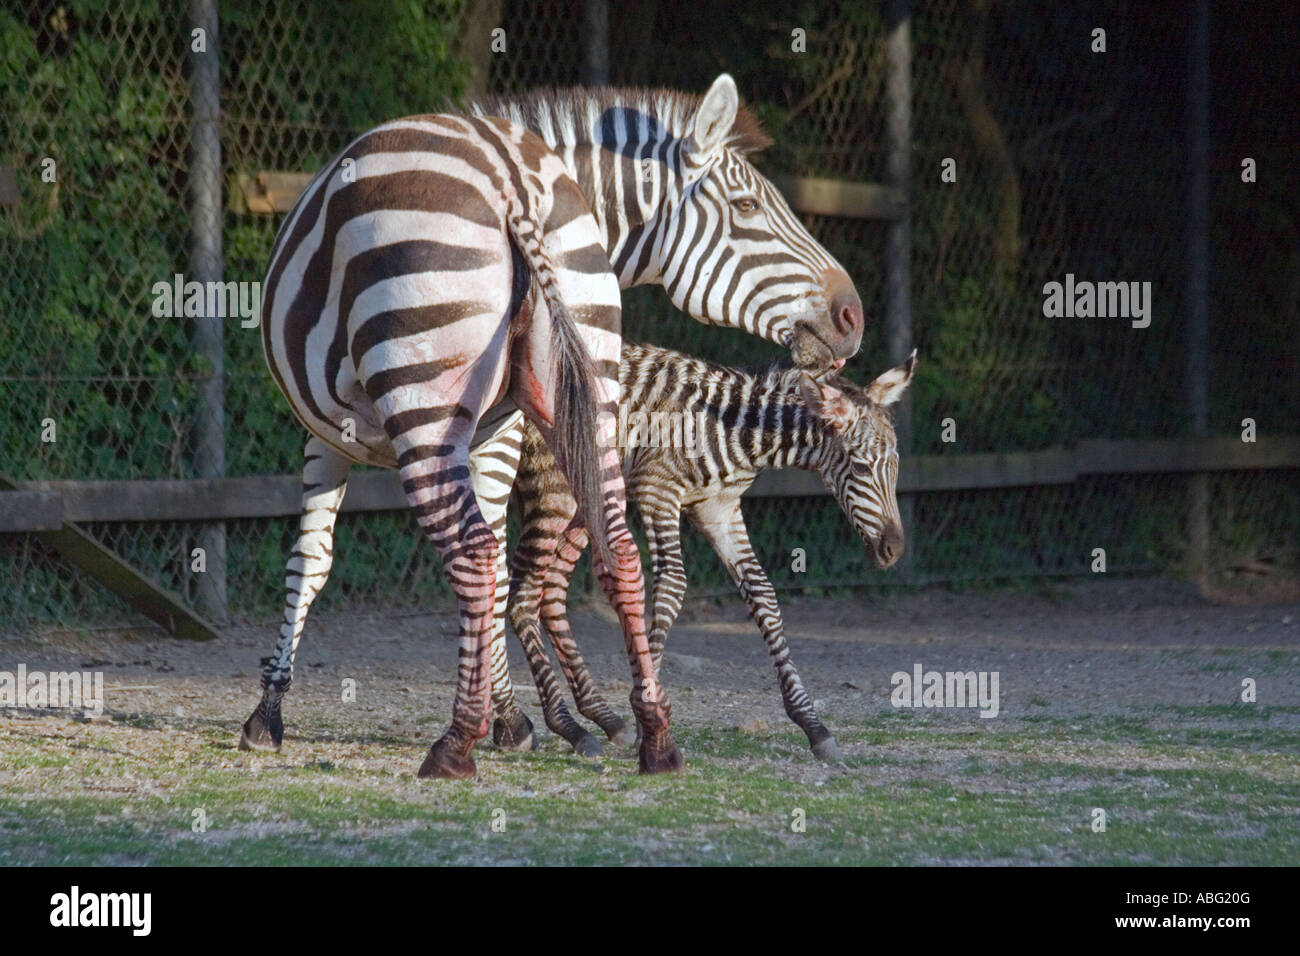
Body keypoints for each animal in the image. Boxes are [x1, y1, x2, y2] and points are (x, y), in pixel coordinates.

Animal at [243, 76, 863, 780]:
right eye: (746, 205)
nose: (854, 315)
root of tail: (510, 175)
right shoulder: (494, 428)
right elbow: (469, 571)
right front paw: (515, 718)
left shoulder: (339, 431)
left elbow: (313, 562)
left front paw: (267, 714)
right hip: (588, 380)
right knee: (610, 550)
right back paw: (654, 739)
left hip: (425, 404)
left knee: (474, 552)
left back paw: (456, 745)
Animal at [506, 340, 915, 759]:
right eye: (861, 468)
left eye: (896, 463)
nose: (894, 550)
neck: (732, 427)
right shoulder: (656, 490)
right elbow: (671, 587)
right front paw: (647, 715)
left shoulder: (719, 509)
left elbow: (763, 594)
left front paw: (812, 725)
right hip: (555, 492)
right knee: (520, 594)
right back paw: (551, 724)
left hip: (582, 502)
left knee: (549, 591)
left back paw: (594, 717)